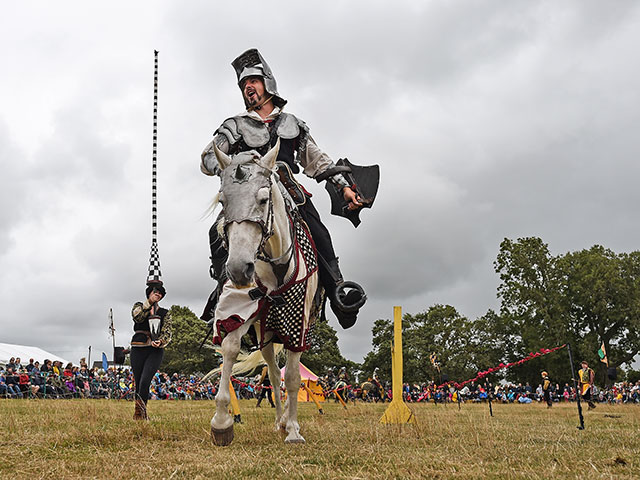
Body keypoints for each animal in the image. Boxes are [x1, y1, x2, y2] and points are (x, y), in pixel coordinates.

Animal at [210, 140, 320, 446]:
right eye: (223, 202)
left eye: (262, 200)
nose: (238, 268)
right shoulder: (243, 309)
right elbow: (230, 347)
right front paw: (222, 422)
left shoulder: (298, 323)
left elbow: (293, 377)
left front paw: (294, 430)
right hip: (266, 330)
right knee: (271, 372)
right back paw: (279, 421)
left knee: (285, 375)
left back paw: (287, 422)